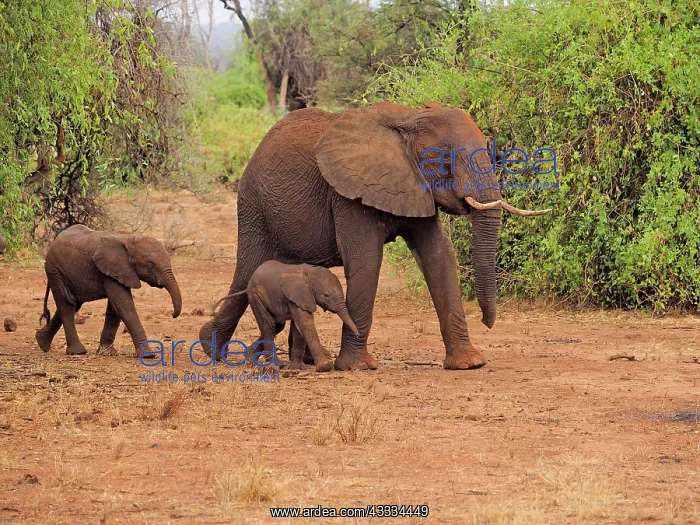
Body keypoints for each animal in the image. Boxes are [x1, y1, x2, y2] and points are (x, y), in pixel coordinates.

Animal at [35, 224, 182, 357]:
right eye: (151, 266)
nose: (172, 314)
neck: (130, 239)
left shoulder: (117, 271)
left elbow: (115, 308)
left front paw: (107, 353)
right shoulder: (109, 269)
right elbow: (124, 306)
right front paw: (148, 355)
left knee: (73, 304)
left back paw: (41, 342)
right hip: (55, 271)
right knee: (67, 305)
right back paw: (77, 352)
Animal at [212, 260, 360, 372]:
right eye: (326, 295)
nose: (358, 335)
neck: (309, 273)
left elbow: (298, 328)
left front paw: (299, 368)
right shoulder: (297, 294)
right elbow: (305, 323)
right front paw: (325, 366)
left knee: (278, 326)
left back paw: (249, 359)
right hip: (255, 296)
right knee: (268, 326)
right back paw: (277, 365)